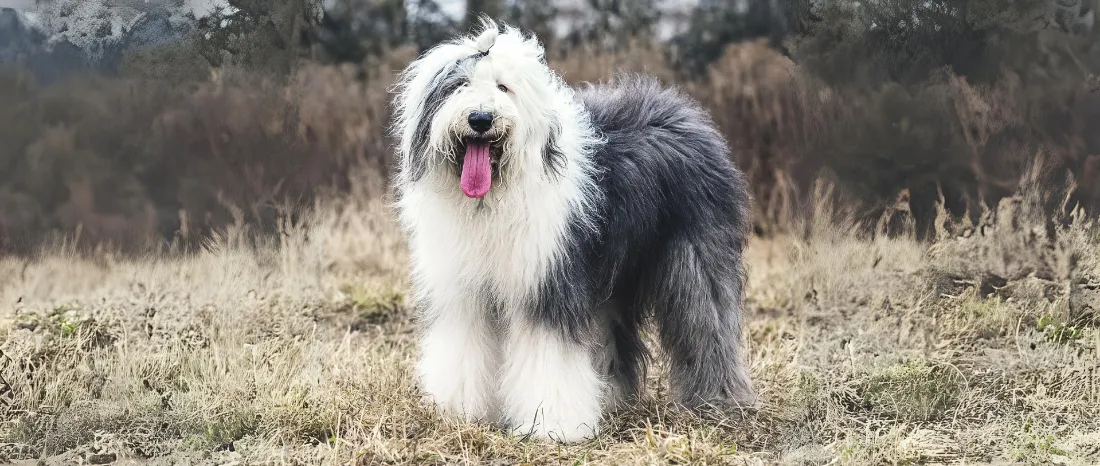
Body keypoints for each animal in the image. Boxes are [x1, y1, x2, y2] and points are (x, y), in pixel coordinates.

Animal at [387, 17, 756, 439]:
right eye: (459, 85)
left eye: (503, 87)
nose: (480, 119)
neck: (492, 197)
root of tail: (686, 112)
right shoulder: (464, 291)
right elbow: (463, 347)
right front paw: (461, 413)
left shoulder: (549, 281)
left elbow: (550, 355)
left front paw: (552, 425)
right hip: (612, 272)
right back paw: (610, 397)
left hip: (695, 254)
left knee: (707, 320)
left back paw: (719, 401)